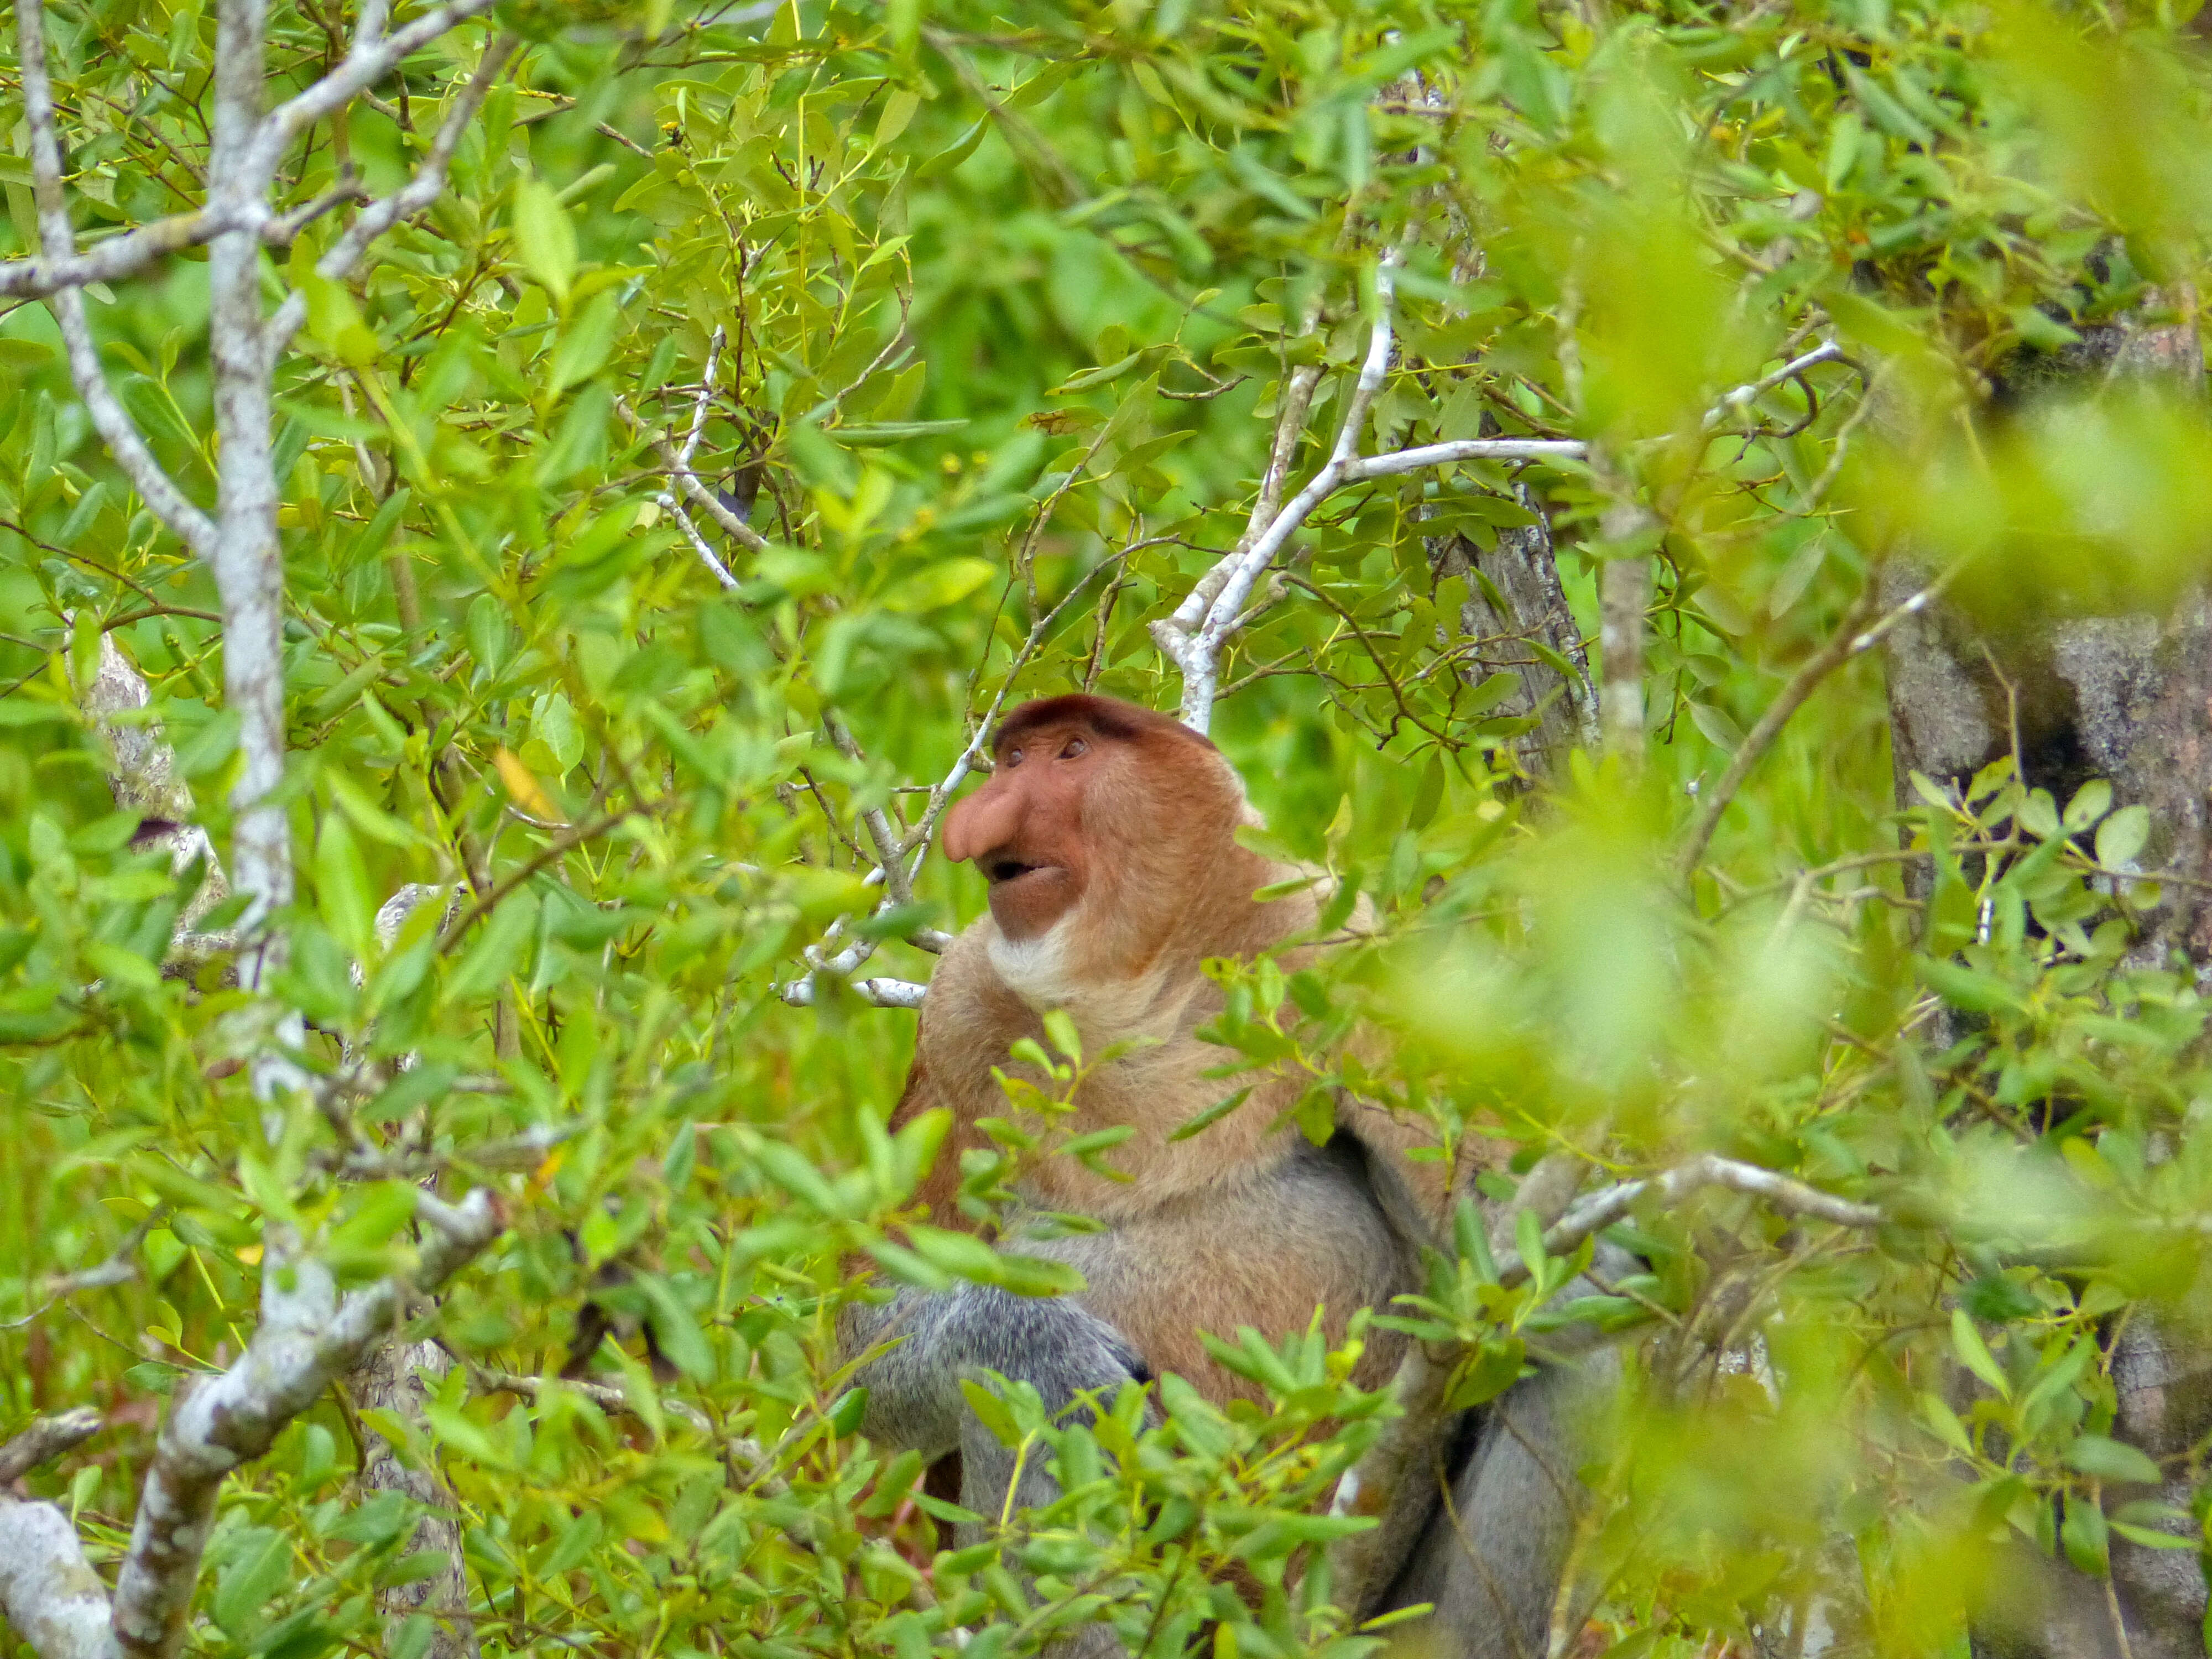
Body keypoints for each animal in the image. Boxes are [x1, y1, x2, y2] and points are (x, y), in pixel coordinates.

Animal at [836, 695, 1601, 1655]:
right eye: (1009, 760)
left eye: (1069, 752)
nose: (981, 818)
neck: (1143, 997)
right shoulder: (957, 1019)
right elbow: (866, 1350)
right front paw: (1040, 1344)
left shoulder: (1343, 952)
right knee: (1017, 1406)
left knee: (1579, 1354)